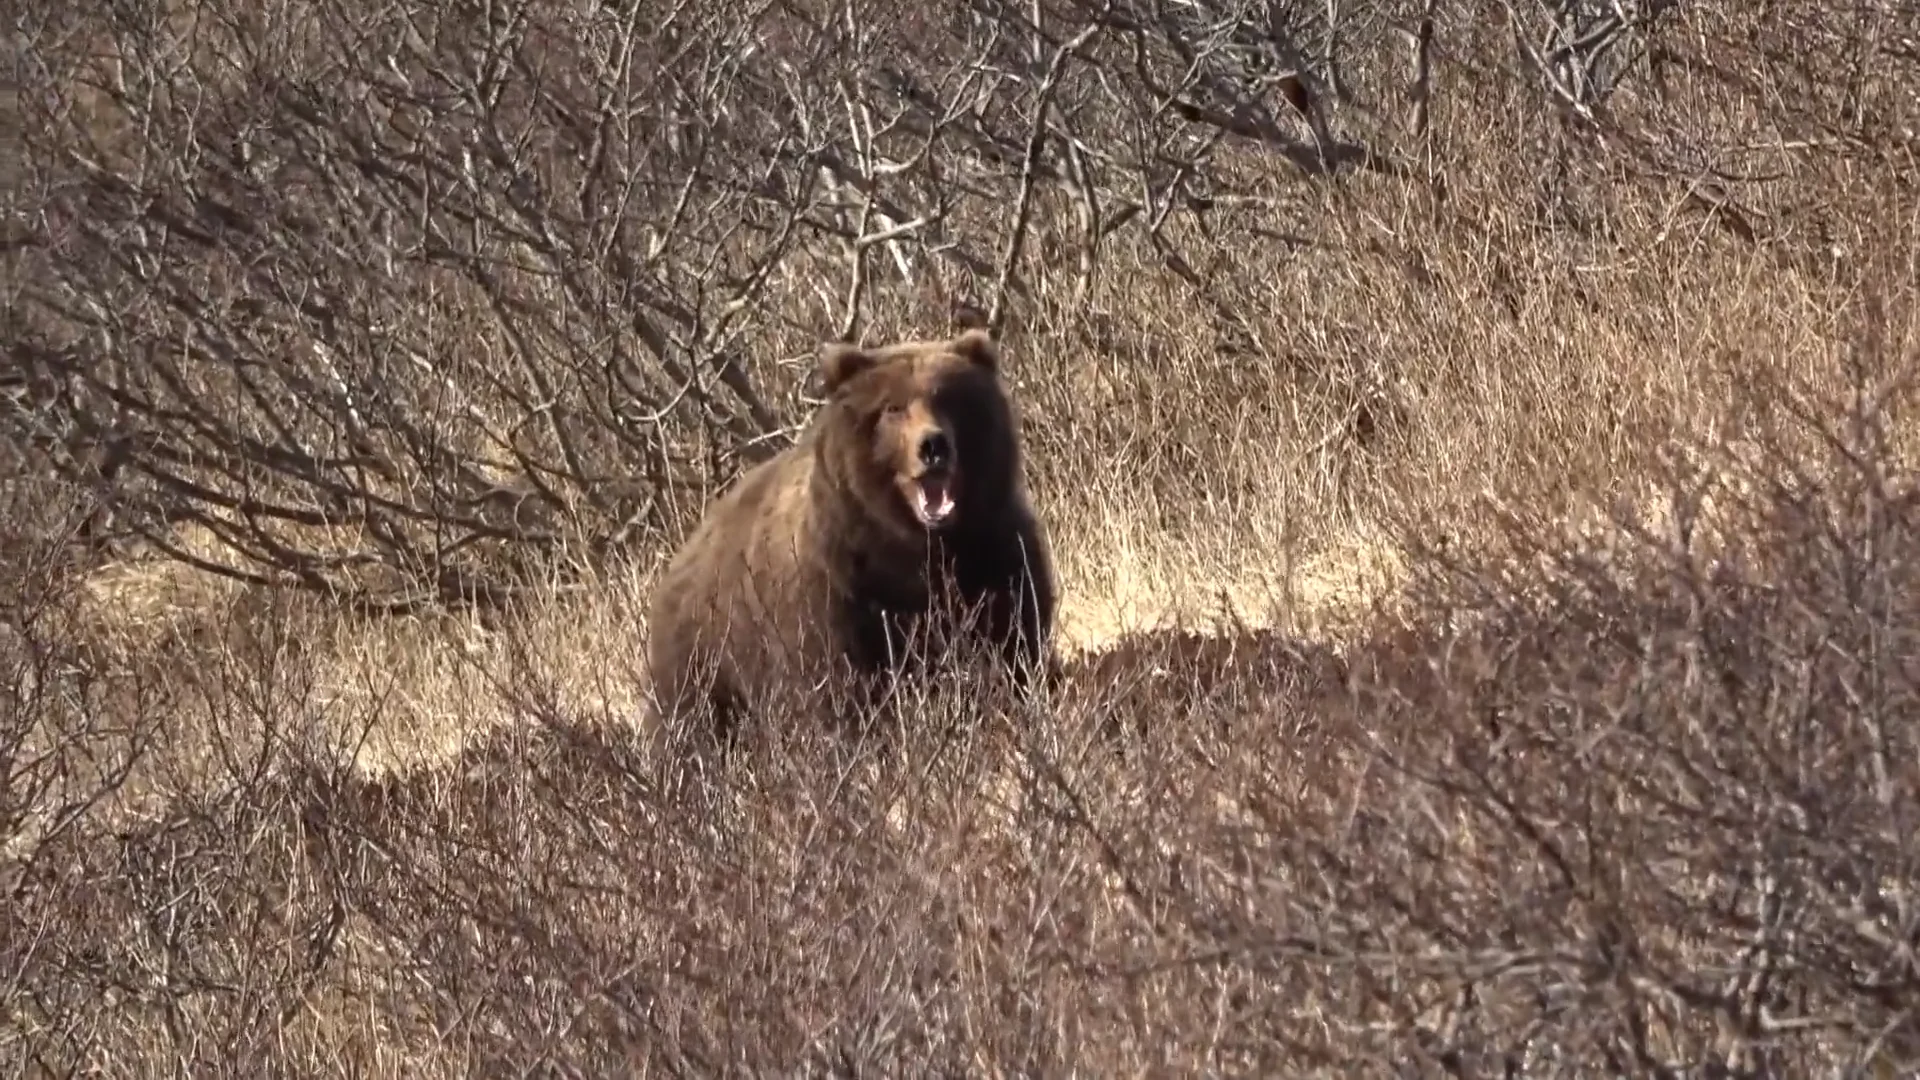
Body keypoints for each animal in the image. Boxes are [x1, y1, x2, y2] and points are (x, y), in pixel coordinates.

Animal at [644, 327, 1058, 746]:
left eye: (949, 398)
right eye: (892, 408)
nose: (933, 446)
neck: (913, 546)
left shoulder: (993, 557)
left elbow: (1013, 644)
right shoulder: (837, 588)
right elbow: (841, 689)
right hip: (703, 659)